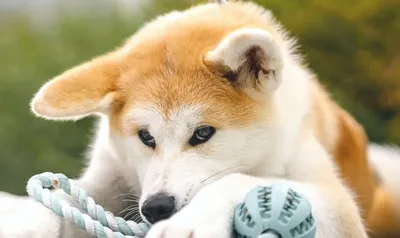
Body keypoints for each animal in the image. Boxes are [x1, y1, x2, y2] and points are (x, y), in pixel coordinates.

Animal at [0, 0, 400, 238]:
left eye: (203, 133)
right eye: (145, 137)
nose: (157, 207)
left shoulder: (339, 204)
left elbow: (235, 179)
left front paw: (190, 221)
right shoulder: (108, 174)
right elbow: (58, 198)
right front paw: (29, 223)